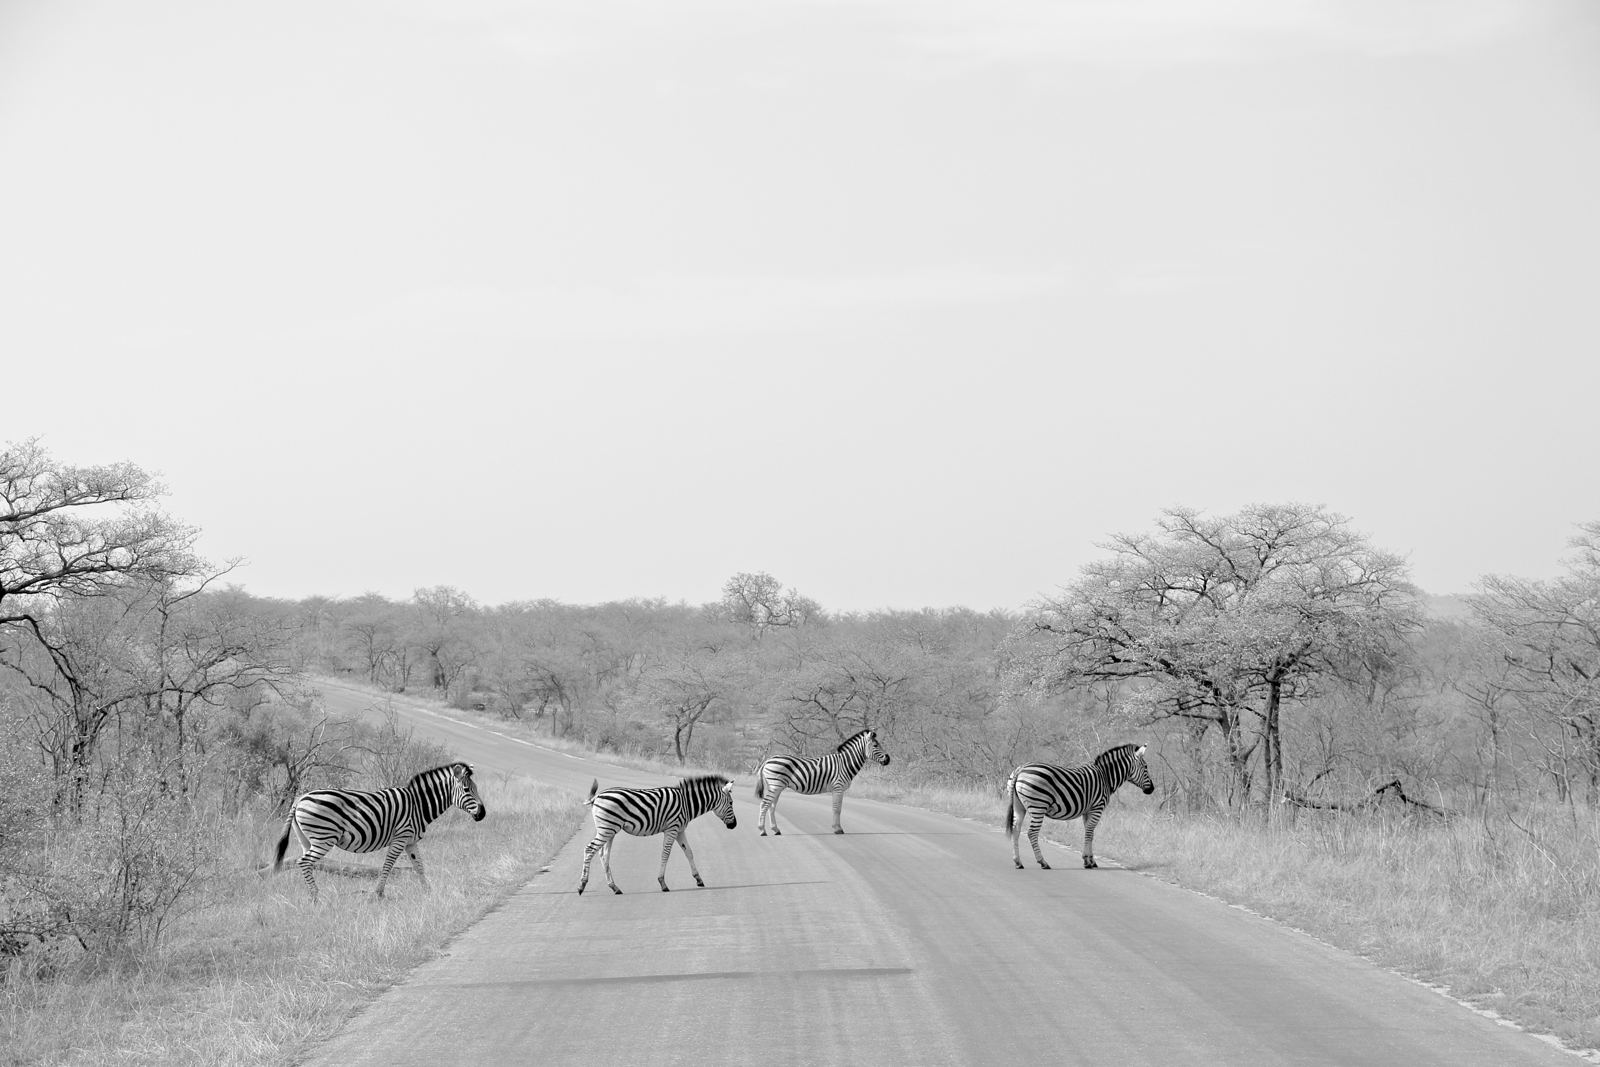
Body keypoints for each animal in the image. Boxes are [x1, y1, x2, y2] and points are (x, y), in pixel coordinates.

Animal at [272, 761, 487, 902]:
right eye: (467, 790)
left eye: (475, 788)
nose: (483, 814)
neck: (418, 805)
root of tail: (300, 798)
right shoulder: (400, 837)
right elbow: (388, 865)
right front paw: (378, 894)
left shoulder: (410, 841)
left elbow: (419, 866)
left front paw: (428, 891)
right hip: (324, 837)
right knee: (304, 861)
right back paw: (317, 897)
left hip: (308, 838)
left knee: (307, 863)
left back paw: (312, 894)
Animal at [578, 775, 737, 895]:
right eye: (731, 803)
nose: (734, 825)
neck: (686, 803)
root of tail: (597, 796)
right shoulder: (672, 828)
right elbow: (665, 854)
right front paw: (663, 883)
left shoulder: (680, 830)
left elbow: (689, 852)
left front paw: (698, 879)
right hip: (607, 828)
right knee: (589, 849)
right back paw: (582, 886)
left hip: (609, 830)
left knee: (604, 855)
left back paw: (614, 887)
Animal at [755, 728, 891, 836]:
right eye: (875, 745)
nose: (888, 759)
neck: (845, 763)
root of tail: (767, 761)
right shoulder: (838, 787)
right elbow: (837, 809)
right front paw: (838, 829)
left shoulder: (837, 789)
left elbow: (837, 808)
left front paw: (837, 828)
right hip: (775, 785)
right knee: (764, 804)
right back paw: (762, 831)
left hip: (777, 786)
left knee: (771, 806)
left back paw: (776, 830)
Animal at [1005, 744, 1153, 870]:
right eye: (1145, 767)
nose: (1152, 789)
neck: (1105, 776)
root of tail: (1021, 769)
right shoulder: (1097, 808)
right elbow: (1089, 833)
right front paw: (1087, 861)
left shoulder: (1088, 811)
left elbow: (1090, 833)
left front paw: (1092, 860)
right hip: (1038, 806)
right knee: (1031, 833)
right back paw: (1043, 862)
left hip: (1019, 807)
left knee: (1016, 830)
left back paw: (1018, 862)